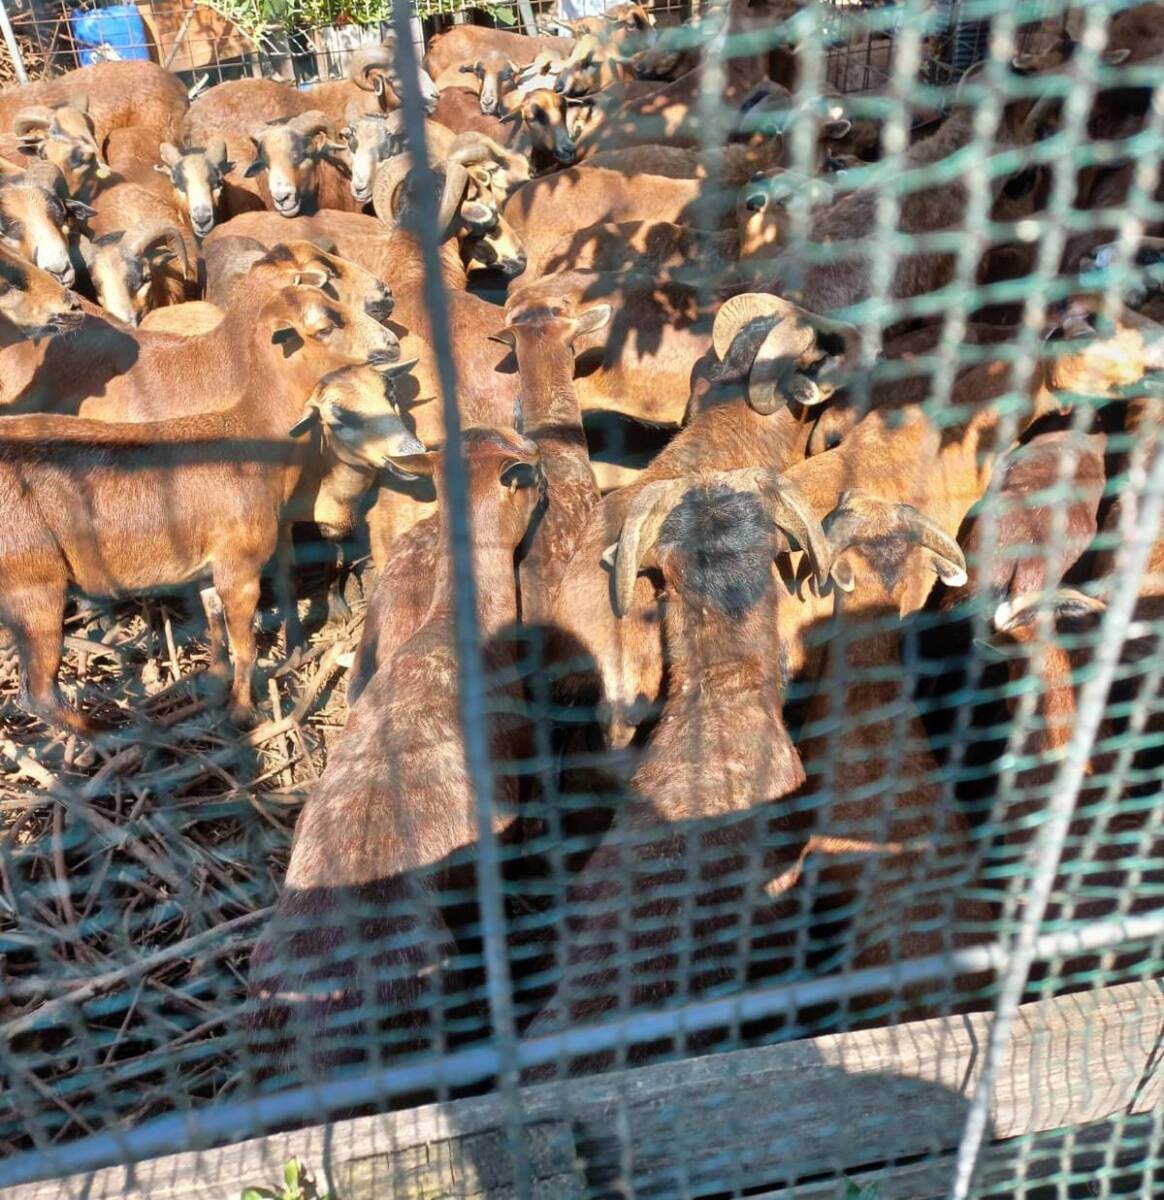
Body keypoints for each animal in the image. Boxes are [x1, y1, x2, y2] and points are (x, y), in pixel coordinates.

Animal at [0, 283, 402, 734]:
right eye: (326, 325)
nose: (391, 341)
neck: (251, 431)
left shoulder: (208, 567)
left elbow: (214, 624)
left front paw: (217, 676)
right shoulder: (240, 565)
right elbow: (246, 644)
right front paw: (244, 711)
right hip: (34, 585)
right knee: (39, 692)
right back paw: (106, 732)